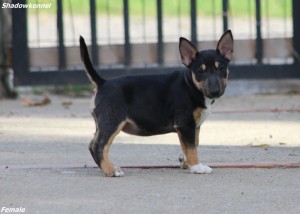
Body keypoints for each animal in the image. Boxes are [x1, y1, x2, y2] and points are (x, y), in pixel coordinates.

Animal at [80, 30, 234, 177]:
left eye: (220, 68)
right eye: (200, 71)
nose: (215, 91)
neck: (191, 85)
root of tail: (102, 83)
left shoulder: (193, 126)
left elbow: (192, 144)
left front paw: (186, 162)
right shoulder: (185, 124)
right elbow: (191, 147)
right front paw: (197, 167)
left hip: (103, 123)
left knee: (92, 144)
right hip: (112, 120)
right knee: (98, 146)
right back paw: (111, 170)